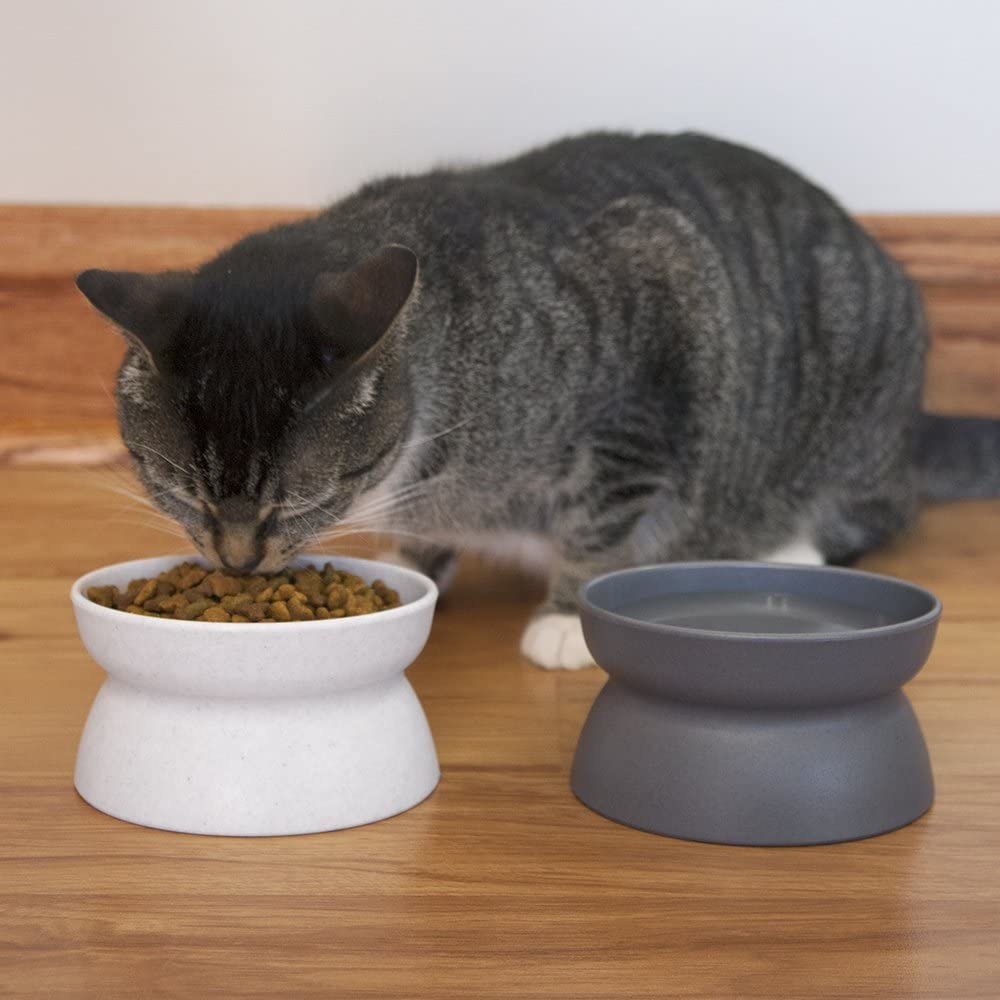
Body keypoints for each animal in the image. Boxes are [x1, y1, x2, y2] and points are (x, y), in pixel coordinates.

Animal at [74, 129, 996, 668]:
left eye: (300, 500)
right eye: (177, 488)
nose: (235, 562)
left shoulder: (648, 354)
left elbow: (600, 518)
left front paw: (565, 616)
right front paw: (416, 563)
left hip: (841, 414)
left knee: (878, 507)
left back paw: (788, 545)